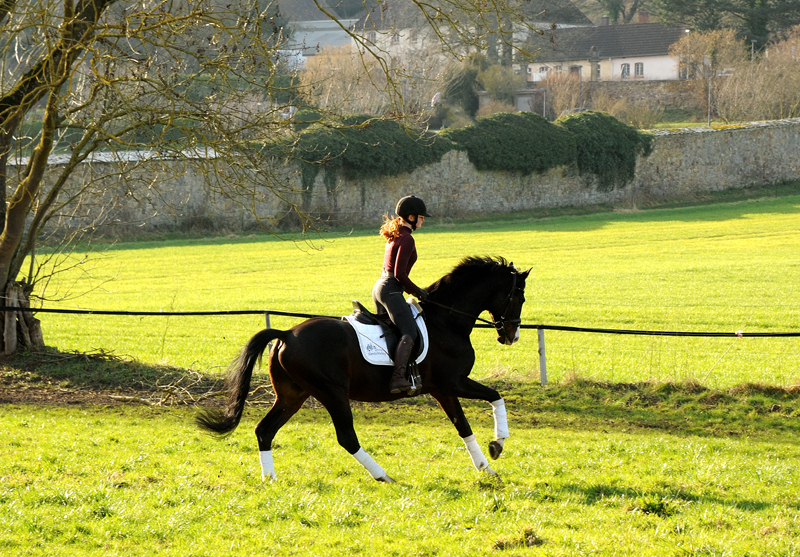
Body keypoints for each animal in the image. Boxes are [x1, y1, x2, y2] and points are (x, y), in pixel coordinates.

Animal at [195, 256, 532, 482]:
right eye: (519, 296)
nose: (511, 336)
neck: (446, 320)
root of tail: (287, 334)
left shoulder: (447, 388)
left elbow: (477, 413)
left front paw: (490, 459)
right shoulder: (451, 384)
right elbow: (484, 406)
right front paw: (494, 452)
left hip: (293, 395)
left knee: (265, 430)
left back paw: (270, 480)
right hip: (331, 393)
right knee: (346, 437)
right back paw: (384, 476)